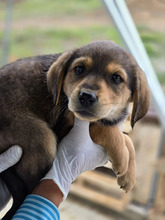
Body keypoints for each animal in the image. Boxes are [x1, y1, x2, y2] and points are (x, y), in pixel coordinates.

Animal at [0, 40, 150, 218]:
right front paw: (121, 159)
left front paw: (130, 173)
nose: (86, 96)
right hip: (42, 137)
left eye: (116, 78)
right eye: (79, 69)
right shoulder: (66, 124)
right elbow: (106, 129)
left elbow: (126, 139)